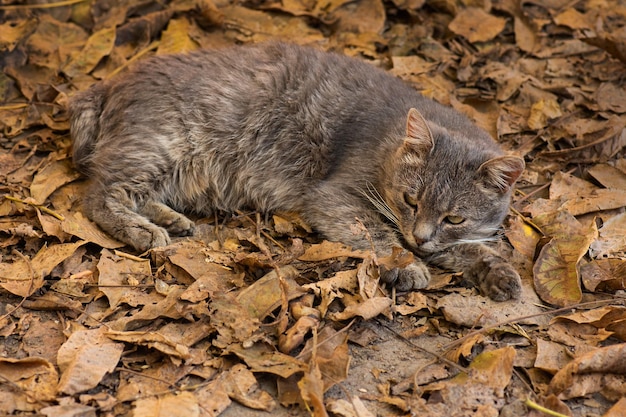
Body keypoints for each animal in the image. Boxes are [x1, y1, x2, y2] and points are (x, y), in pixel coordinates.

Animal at [70, 41, 524, 300]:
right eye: (409, 200)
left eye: (455, 218)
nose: (420, 236)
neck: (388, 141)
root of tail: (111, 82)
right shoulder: (334, 197)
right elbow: (376, 233)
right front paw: (408, 264)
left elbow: (469, 249)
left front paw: (498, 271)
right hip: (161, 147)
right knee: (99, 195)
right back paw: (144, 230)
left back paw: (171, 221)